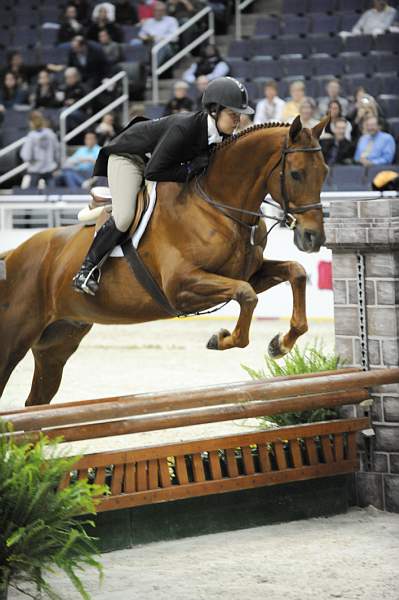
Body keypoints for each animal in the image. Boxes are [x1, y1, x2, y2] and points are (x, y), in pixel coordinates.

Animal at [0, 114, 328, 406]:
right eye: (296, 173)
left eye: (325, 171)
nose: (313, 238)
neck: (218, 208)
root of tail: (13, 255)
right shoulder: (180, 287)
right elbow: (246, 296)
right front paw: (221, 338)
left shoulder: (247, 273)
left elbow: (295, 272)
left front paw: (280, 344)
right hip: (13, 339)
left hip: (58, 342)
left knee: (36, 402)